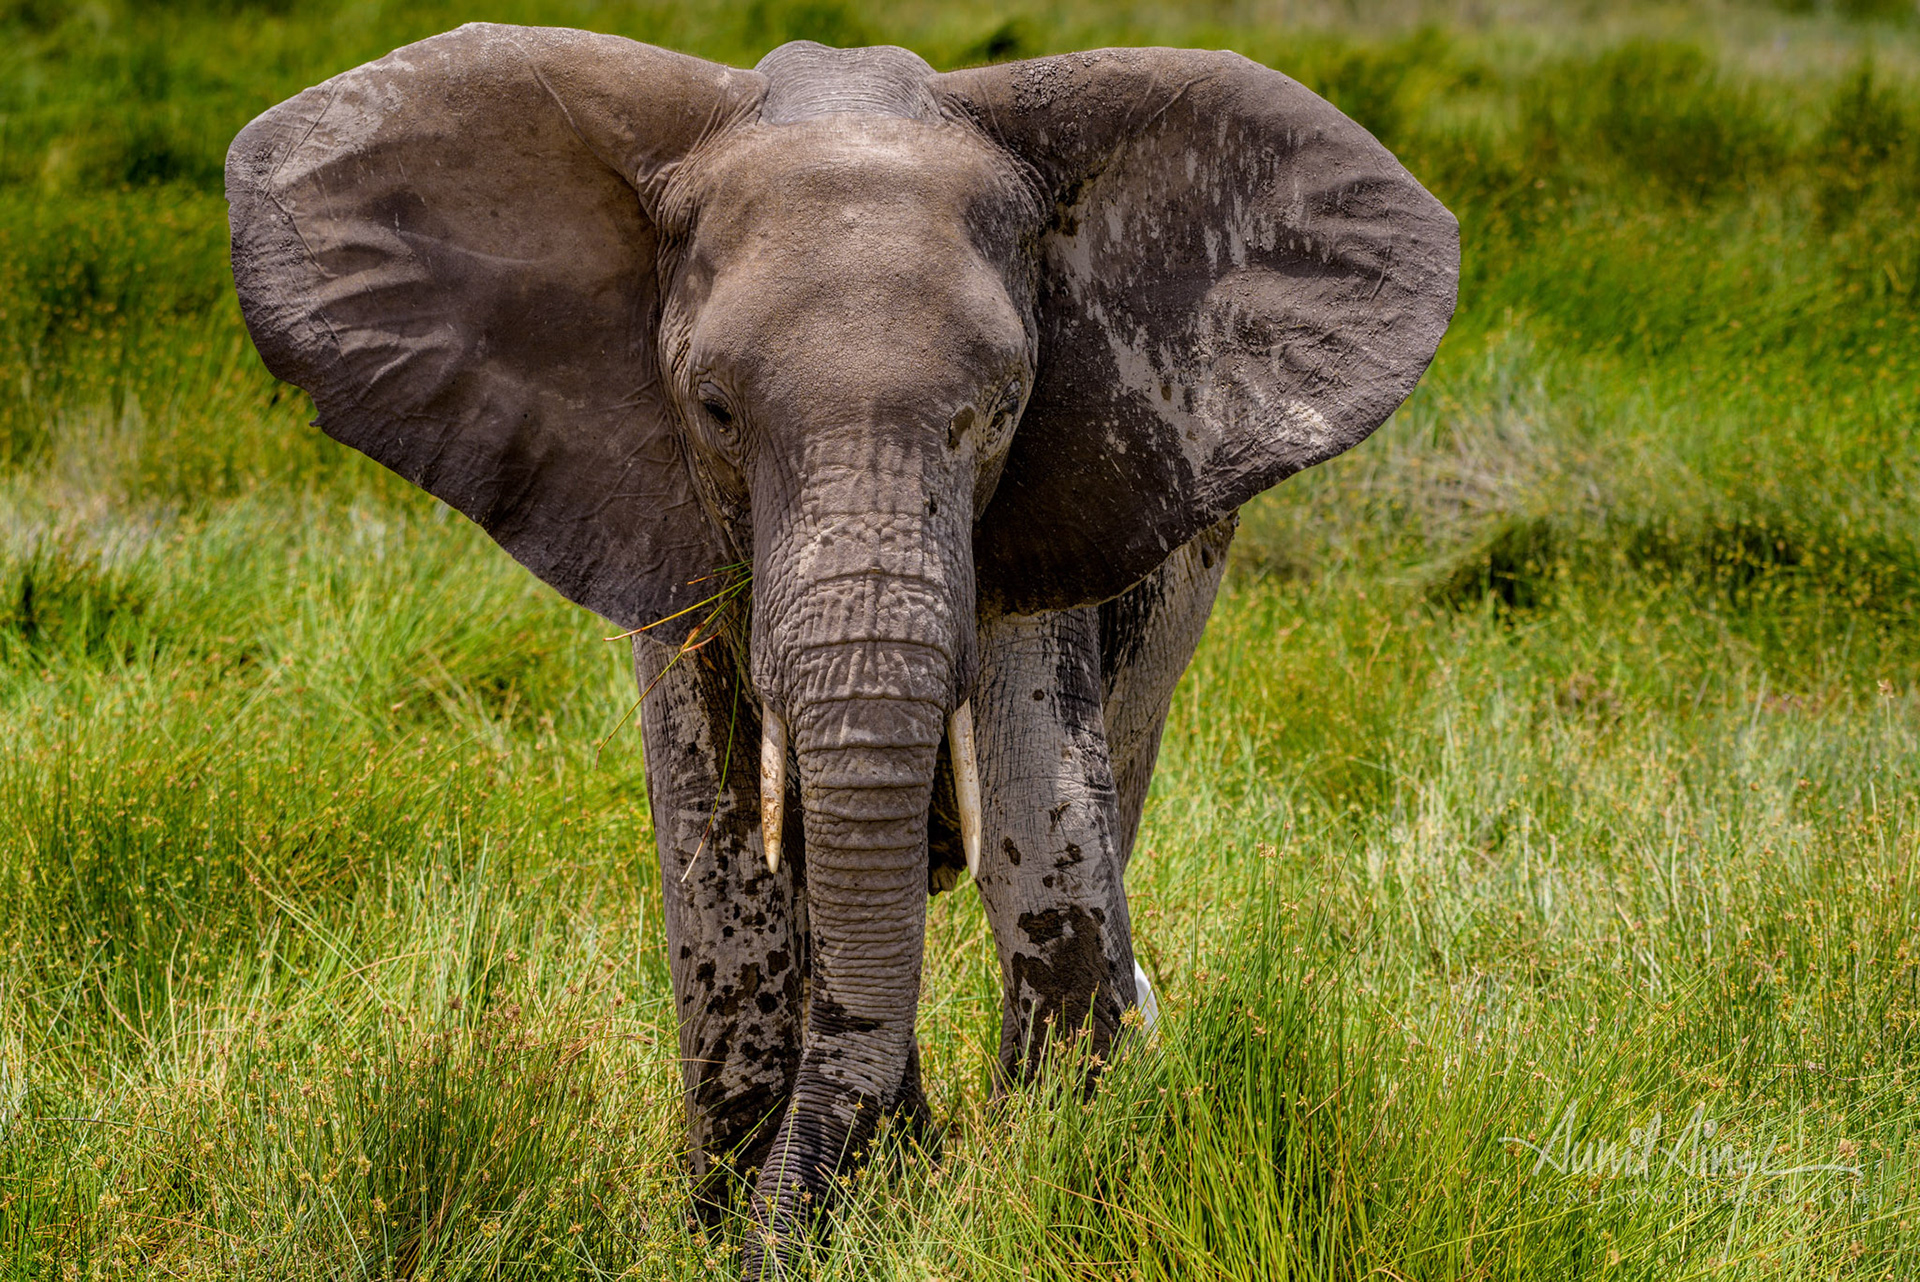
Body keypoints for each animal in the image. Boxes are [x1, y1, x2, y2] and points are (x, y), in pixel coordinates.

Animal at [226, 25, 1456, 1274]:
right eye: (715, 410)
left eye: (1002, 407)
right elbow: (721, 847)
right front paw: (765, 1221)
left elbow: (1038, 826)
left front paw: (1027, 1191)